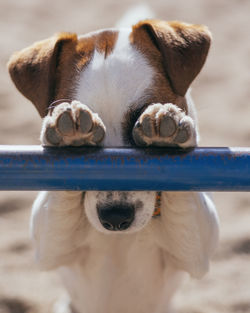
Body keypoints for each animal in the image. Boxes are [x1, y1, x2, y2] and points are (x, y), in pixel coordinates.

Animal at [7, 8, 219, 310]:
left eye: (139, 117)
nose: (116, 218)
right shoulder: (48, 247)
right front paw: (70, 135)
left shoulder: (197, 250)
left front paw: (164, 130)